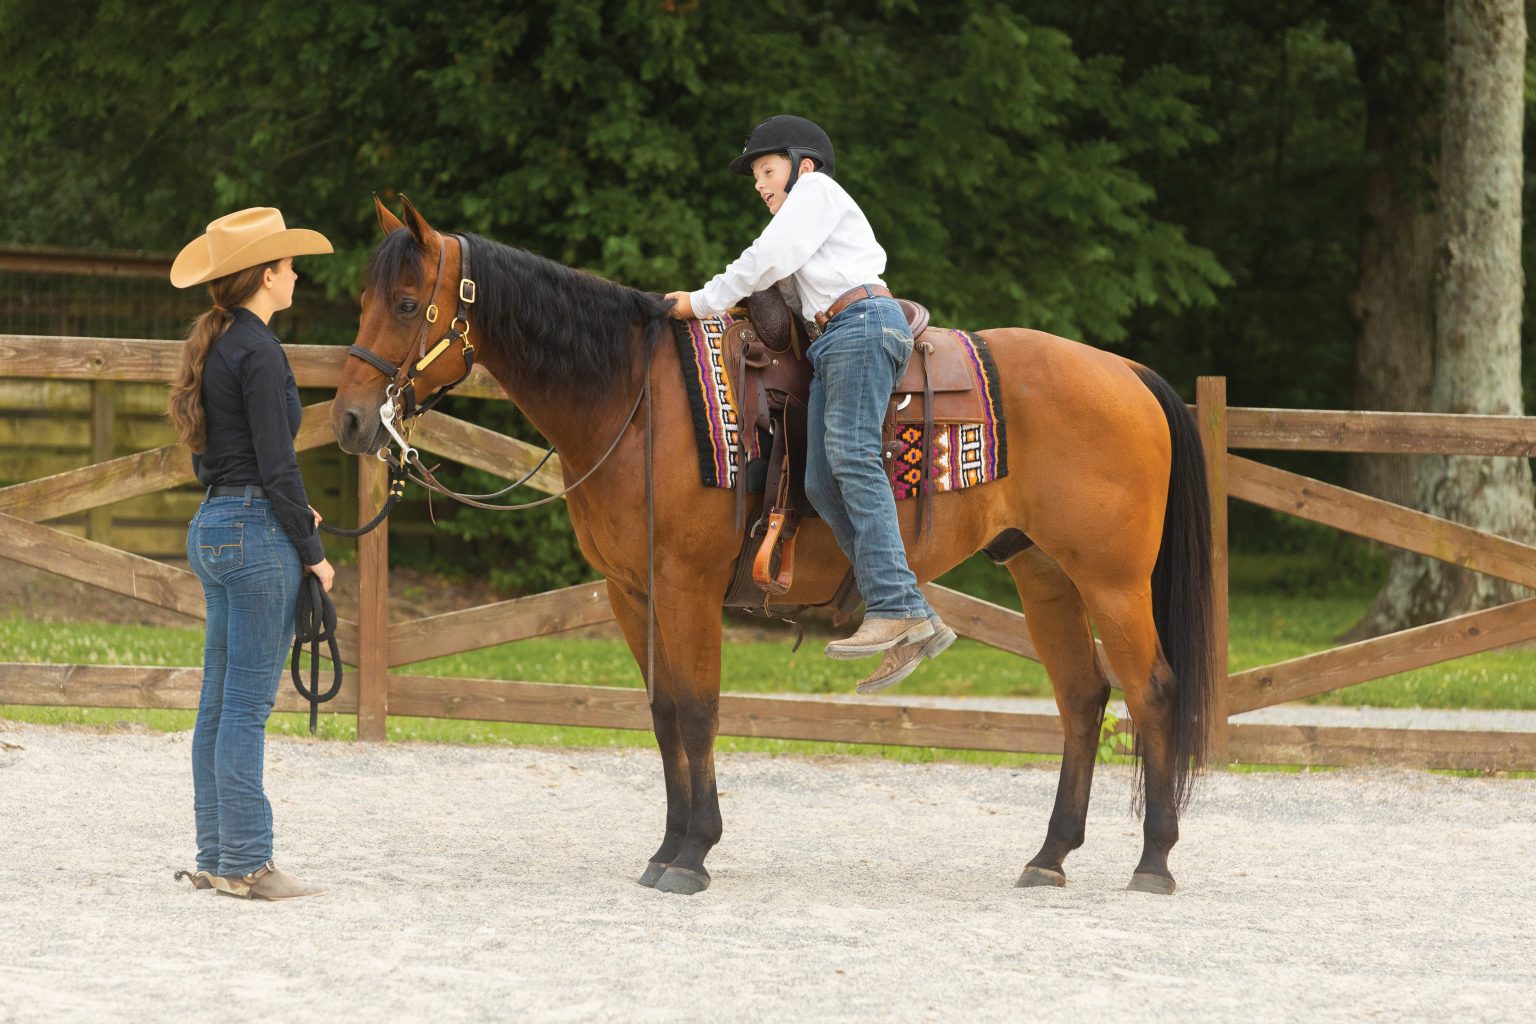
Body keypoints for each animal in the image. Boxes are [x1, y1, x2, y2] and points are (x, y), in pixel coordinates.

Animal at [332, 195, 1215, 897]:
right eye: (364, 297)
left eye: (406, 303)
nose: (348, 419)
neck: (637, 400)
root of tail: (1129, 373)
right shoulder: (632, 590)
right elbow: (663, 711)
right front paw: (669, 846)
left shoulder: (686, 584)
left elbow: (696, 708)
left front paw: (692, 854)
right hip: (1044, 573)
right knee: (1082, 698)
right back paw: (1049, 856)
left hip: (1113, 581)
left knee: (1153, 692)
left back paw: (1154, 862)